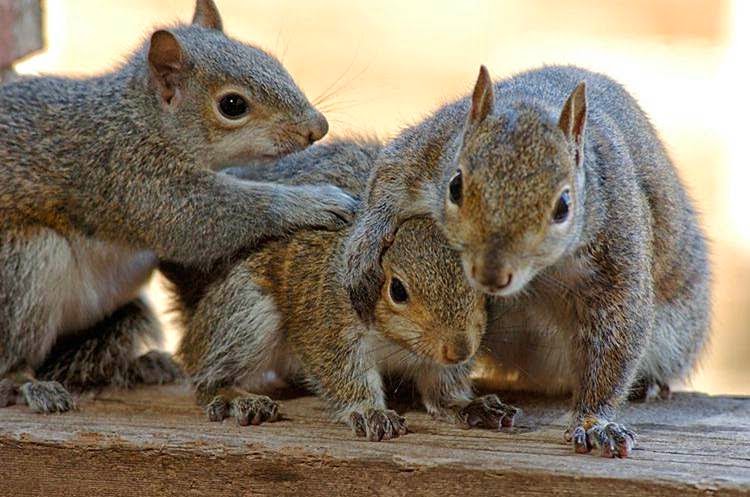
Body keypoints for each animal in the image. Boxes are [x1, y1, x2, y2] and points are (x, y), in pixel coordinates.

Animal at [0, 0, 357, 414]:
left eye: (270, 60)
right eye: (232, 105)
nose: (318, 127)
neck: (144, 121)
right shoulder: (134, 178)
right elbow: (197, 221)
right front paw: (317, 200)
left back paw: (142, 364)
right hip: (27, 264)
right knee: (14, 353)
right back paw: (30, 383)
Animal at [164, 137, 518, 441]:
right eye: (397, 291)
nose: (459, 350)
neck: (395, 341)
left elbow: (442, 386)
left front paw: (466, 404)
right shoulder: (326, 321)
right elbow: (342, 373)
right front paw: (370, 412)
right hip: (246, 313)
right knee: (206, 370)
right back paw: (234, 396)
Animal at [342, 65, 710, 457]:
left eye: (564, 206)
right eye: (455, 185)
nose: (491, 275)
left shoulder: (617, 243)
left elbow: (617, 336)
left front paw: (594, 422)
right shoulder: (427, 150)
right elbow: (385, 181)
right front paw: (362, 250)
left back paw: (647, 384)